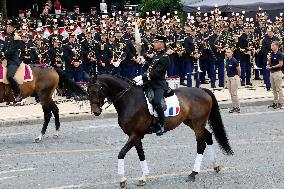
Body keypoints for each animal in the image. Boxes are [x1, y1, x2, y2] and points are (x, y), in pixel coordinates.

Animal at [87, 74, 234, 188]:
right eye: (88, 91)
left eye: (96, 90)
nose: (95, 112)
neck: (129, 99)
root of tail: (203, 91)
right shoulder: (135, 136)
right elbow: (141, 154)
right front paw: (144, 177)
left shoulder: (135, 135)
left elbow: (121, 153)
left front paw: (123, 180)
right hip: (191, 122)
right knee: (208, 137)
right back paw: (215, 166)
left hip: (198, 123)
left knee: (201, 144)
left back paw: (193, 173)